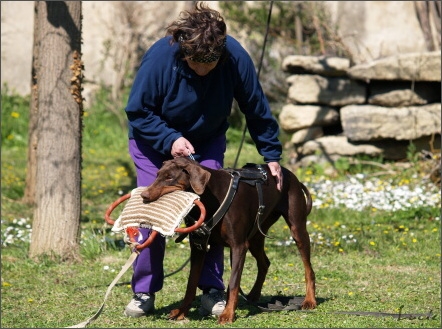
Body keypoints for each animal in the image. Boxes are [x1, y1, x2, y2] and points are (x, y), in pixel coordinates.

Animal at [140, 157, 316, 322]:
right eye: (157, 175)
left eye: (170, 177)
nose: (144, 196)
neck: (210, 198)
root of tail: (291, 175)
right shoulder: (198, 245)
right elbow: (191, 282)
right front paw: (181, 311)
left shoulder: (238, 245)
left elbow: (233, 283)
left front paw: (228, 314)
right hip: (256, 235)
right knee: (264, 262)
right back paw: (253, 295)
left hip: (297, 229)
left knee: (308, 269)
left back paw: (309, 300)